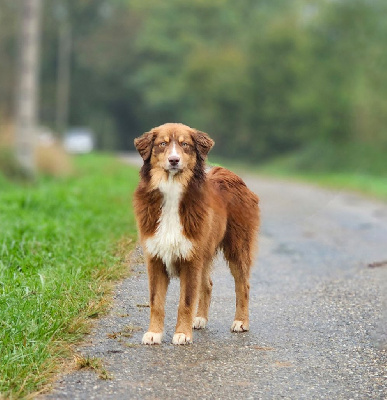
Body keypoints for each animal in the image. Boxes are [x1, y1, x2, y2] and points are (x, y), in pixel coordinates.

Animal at [133, 123, 260, 346]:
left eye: (185, 144)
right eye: (162, 144)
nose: (174, 160)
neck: (172, 190)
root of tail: (232, 175)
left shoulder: (190, 259)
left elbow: (185, 301)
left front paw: (182, 334)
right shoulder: (156, 258)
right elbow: (156, 301)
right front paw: (154, 333)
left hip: (237, 247)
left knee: (243, 285)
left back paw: (241, 322)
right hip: (205, 250)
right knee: (207, 284)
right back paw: (199, 319)